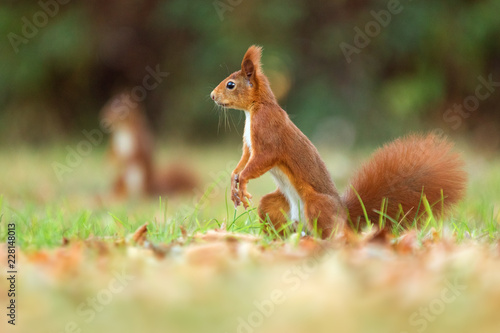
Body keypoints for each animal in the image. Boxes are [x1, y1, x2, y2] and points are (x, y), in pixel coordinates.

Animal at [209, 45, 466, 237]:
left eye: (231, 85)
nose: (212, 96)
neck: (254, 109)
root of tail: (344, 216)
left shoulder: (267, 133)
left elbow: (262, 159)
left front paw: (242, 182)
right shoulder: (248, 145)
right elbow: (244, 159)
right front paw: (234, 179)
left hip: (316, 205)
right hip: (274, 206)